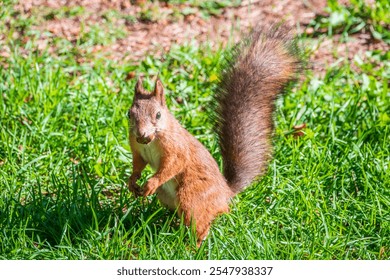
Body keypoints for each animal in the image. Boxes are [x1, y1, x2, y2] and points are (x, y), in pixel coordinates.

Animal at [126, 25, 300, 246]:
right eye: (129, 114)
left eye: (158, 115)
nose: (141, 134)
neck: (151, 141)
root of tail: (225, 194)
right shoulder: (137, 149)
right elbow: (138, 164)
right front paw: (133, 182)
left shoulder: (176, 147)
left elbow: (173, 164)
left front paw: (151, 183)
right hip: (167, 197)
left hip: (192, 195)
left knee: (201, 223)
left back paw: (193, 246)